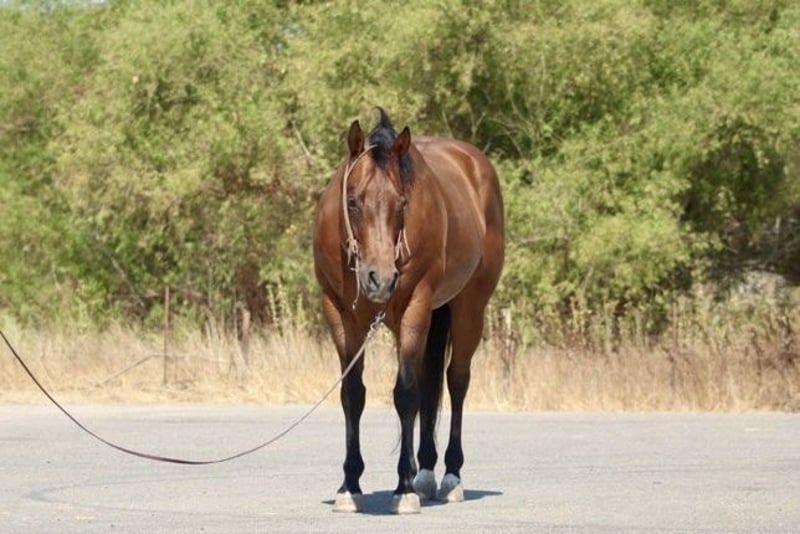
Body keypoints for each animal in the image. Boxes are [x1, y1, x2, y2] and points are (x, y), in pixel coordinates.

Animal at [312, 108, 504, 514]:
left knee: (456, 381)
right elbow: (353, 394)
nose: (380, 279)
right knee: (430, 382)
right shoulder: (339, 314)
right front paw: (349, 485)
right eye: (352, 201)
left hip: (469, 307)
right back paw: (426, 471)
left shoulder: (415, 307)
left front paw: (403, 489)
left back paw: (450, 477)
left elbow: (405, 394)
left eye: (402, 203)